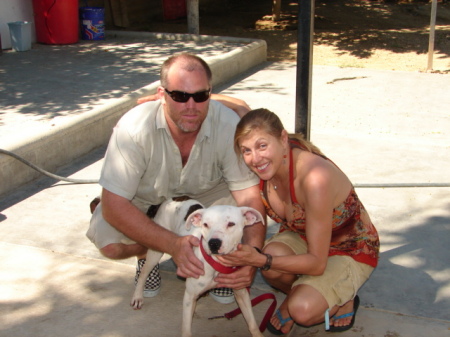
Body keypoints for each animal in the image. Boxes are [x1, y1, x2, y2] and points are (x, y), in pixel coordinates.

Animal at [129, 197, 264, 336]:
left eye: (231, 224)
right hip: (156, 248)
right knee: (144, 272)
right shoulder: (189, 297)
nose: (213, 243)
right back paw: (138, 296)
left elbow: (252, 324)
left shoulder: (241, 293)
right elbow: (186, 329)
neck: (216, 263)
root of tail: (168, 200)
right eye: (205, 224)